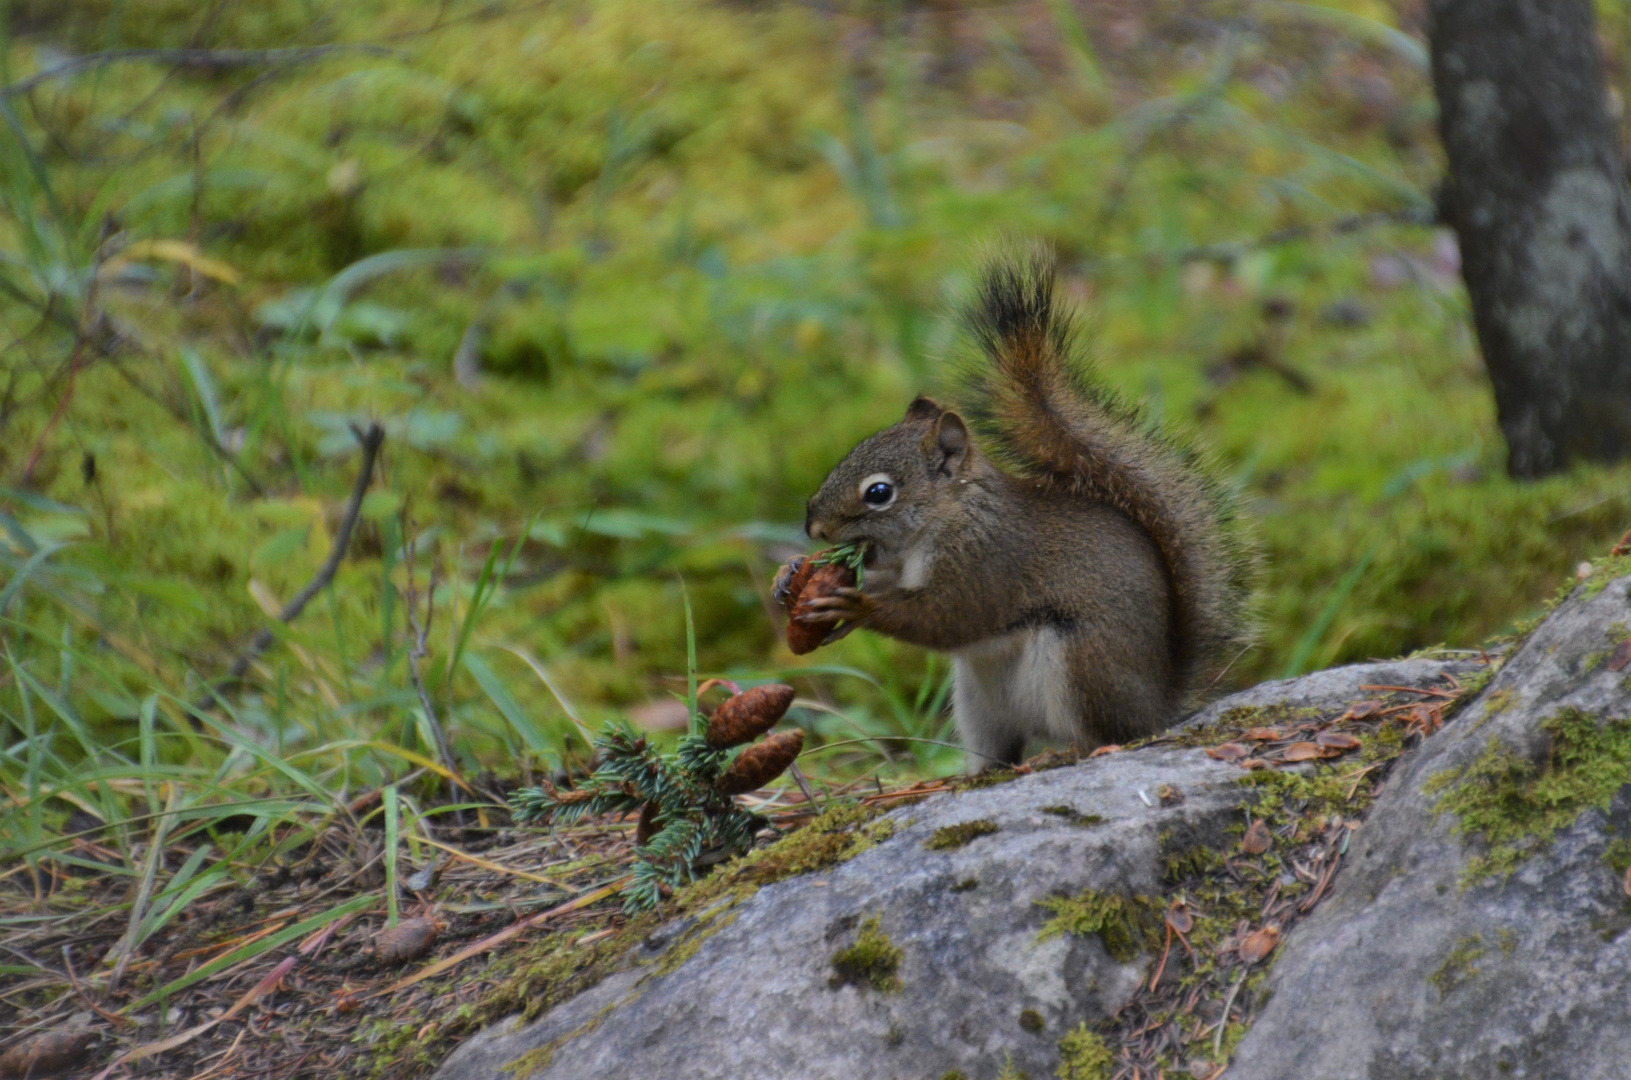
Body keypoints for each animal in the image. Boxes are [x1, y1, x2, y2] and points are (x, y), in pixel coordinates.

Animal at [795, 247, 1252, 770]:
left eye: (878, 493)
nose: (813, 527)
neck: (951, 517)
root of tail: (1158, 706)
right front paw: (798, 582)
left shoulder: (987, 561)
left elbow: (945, 617)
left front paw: (858, 605)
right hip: (977, 703)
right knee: (998, 749)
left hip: (1082, 664)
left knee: (1105, 732)